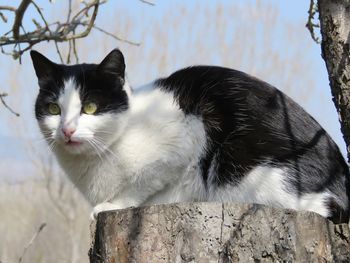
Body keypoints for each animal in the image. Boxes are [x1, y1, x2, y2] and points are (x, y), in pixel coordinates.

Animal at [30, 48, 350, 224]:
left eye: (90, 107)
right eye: (54, 108)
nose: (67, 130)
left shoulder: (186, 136)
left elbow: (142, 183)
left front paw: (112, 204)